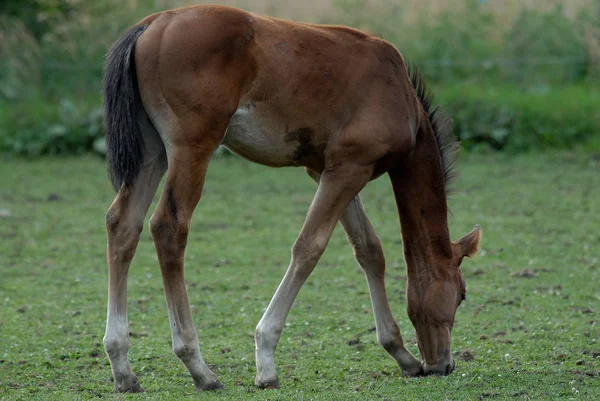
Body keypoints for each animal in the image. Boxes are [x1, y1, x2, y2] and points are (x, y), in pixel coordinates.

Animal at [101, 3, 480, 390]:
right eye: (462, 294)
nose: (443, 364)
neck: (399, 94)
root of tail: (151, 24)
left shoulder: (331, 170)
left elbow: (369, 251)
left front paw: (401, 354)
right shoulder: (349, 168)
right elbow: (309, 247)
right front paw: (265, 361)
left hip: (151, 153)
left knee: (123, 224)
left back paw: (122, 367)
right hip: (192, 148)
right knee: (168, 227)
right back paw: (198, 367)